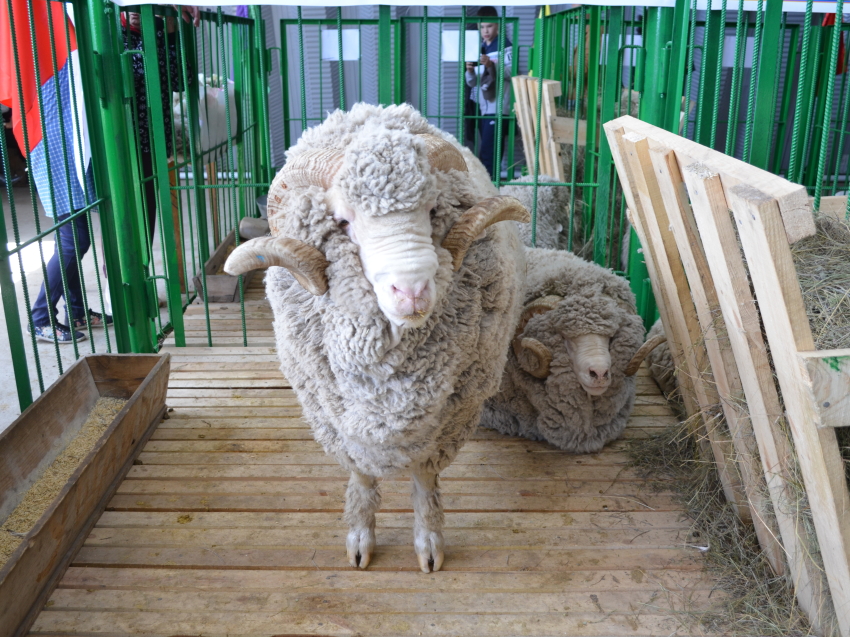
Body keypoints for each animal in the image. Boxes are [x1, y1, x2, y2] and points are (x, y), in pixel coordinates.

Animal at [225, 104, 528, 572]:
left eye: (433, 210)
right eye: (343, 221)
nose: (413, 291)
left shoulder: (450, 414)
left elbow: (424, 478)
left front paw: (428, 542)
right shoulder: (336, 417)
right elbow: (362, 475)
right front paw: (360, 537)